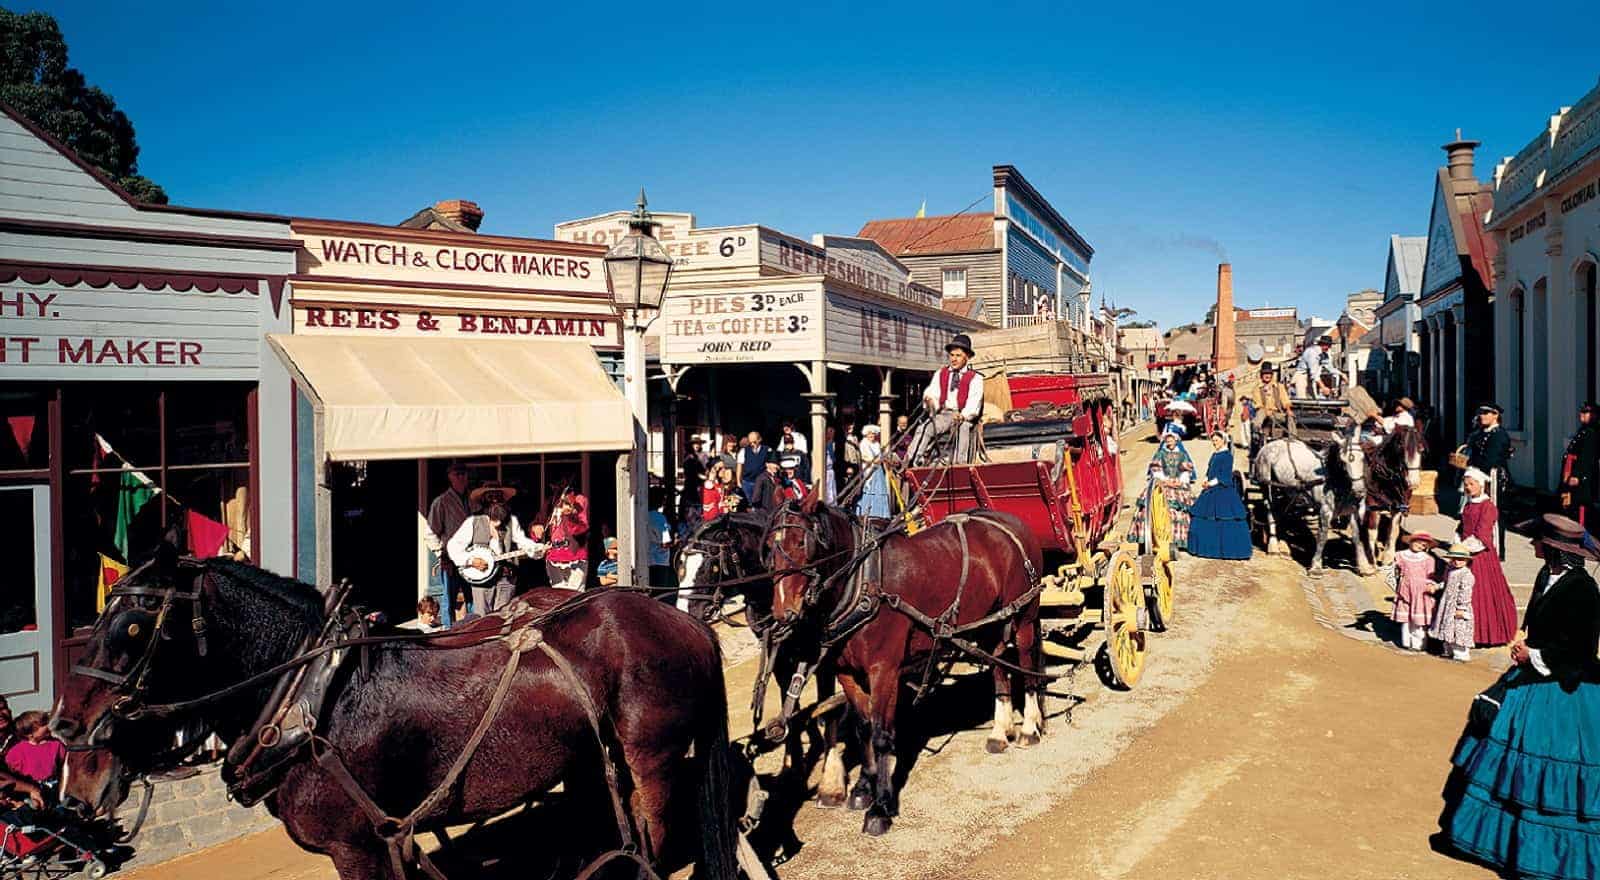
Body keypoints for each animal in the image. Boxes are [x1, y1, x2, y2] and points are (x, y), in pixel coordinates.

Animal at [53, 547, 739, 876]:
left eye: (137, 623)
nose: (66, 728)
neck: (312, 697)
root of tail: (680, 616)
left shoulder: (357, 845)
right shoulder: (391, 839)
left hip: (651, 759)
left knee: (653, 835)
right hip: (591, 757)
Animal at [764, 492, 1049, 838]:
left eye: (801, 543)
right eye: (770, 547)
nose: (784, 612)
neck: (864, 582)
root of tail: (1011, 521)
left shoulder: (883, 669)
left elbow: (881, 734)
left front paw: (880, 808)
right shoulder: (847, 672)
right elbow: (863, 727)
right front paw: (863, 787)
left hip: (1023, 615)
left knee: (1025, 662)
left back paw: (1030, 727)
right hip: (991, 622)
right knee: (997, 666)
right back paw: (999, 730)